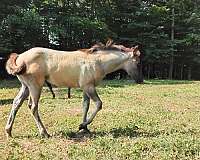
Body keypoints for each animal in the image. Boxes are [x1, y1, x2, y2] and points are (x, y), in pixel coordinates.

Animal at [5, 40, 141, 138]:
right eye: (138, 63)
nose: (140, 80)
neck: (97, 61)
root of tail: (19, 57)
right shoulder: (89, 87)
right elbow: (98, 104)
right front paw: (82, 125)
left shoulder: (86, 87)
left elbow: (85, 105)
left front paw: (84, 128)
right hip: (35, 86)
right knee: (33, 107)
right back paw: (44, 133)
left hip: (26, 86)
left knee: (16, 103)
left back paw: (8, 131)